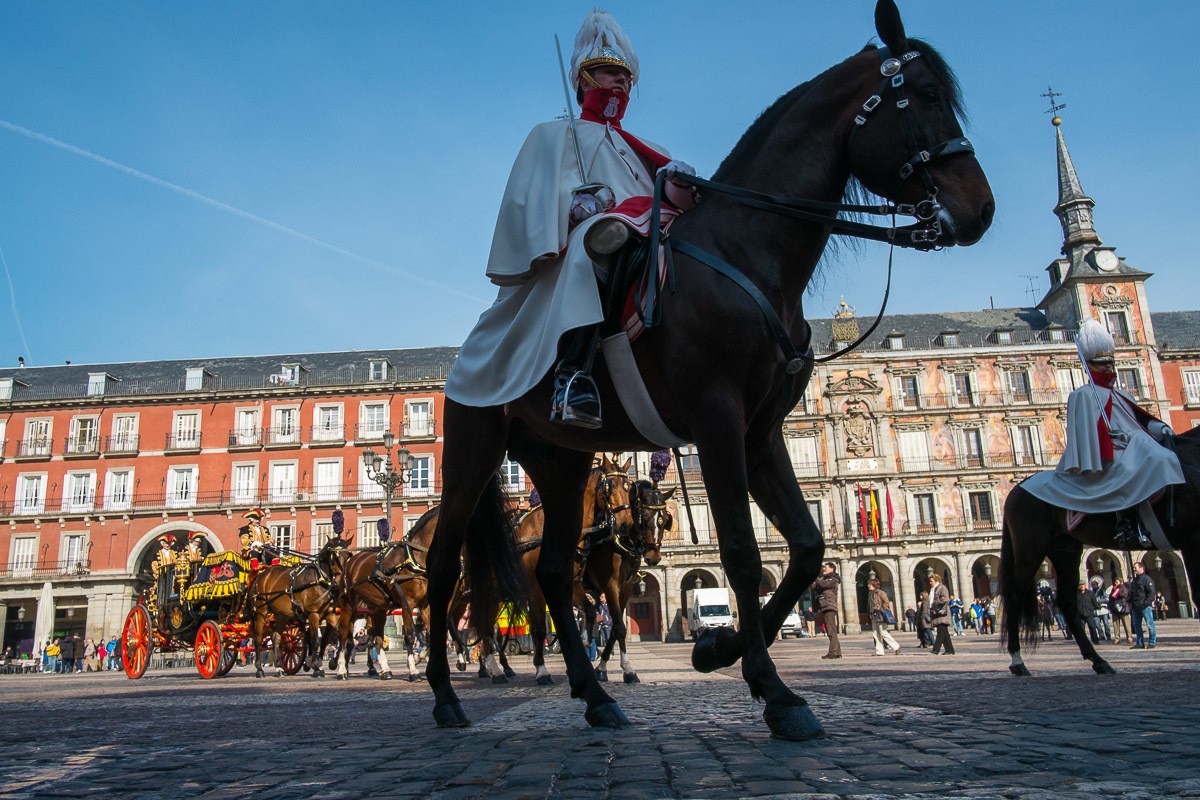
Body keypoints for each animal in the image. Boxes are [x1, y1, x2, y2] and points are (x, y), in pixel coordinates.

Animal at [246, 534, 350, 681]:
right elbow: (315, 641)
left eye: (348, 556)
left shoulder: (331, 614)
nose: (340, 582)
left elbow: (337, 638)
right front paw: (316, 667)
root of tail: (261, 575)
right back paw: (259, 669)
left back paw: (279, 668)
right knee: (258, 638)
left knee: (276, 638)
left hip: (281, 615)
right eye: (333, 556)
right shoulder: (313, 615)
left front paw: (334, 664)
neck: (320, 580)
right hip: (261, 612)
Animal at [422, 0, 993, 743]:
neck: (746, 252)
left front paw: (719, 649)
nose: (980, 208)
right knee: (443, 571)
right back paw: (445, 695)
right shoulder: (719, 422)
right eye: (924, 95)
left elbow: (806, 546)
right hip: (473, 453)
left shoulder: (762, 433)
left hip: (561, 462)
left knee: (551, 574)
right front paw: (773, 691)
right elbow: (744, 556)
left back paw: (595, 696)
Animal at [998, 424, 1200, 676]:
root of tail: (1017, 490)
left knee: (1066, 601)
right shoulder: (1192, 539)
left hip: (1065, 549)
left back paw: (1098, 660)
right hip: (1030, 549)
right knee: (1015, 596)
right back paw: (1018, 661)